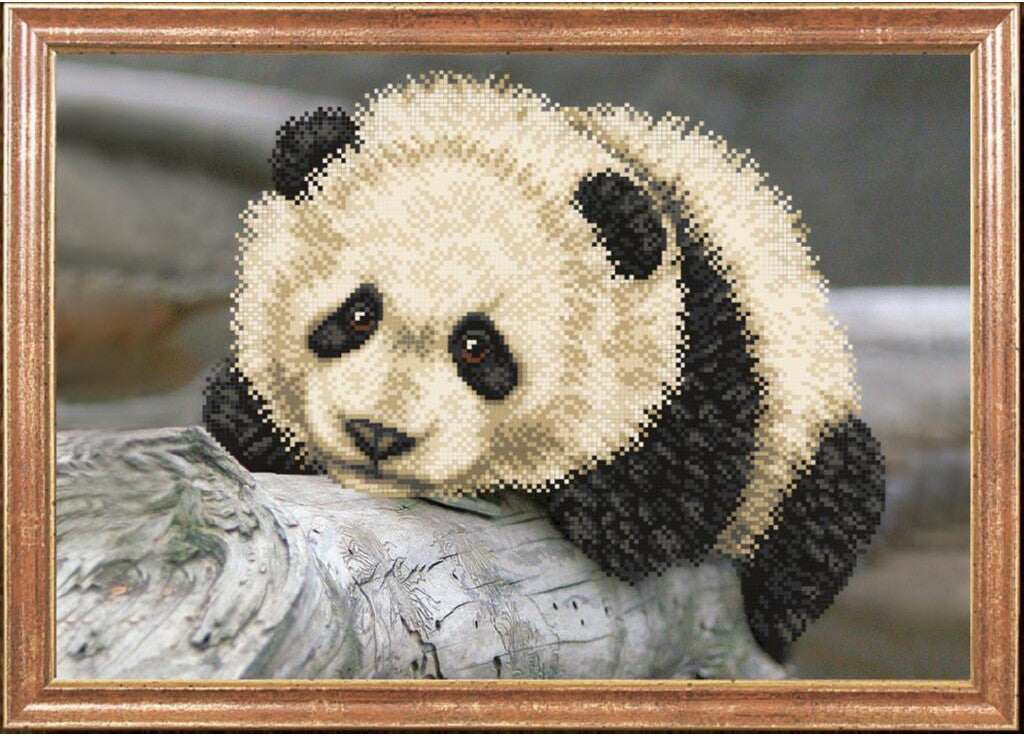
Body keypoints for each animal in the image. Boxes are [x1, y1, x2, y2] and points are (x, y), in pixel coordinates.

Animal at [203, 71, 885, 662]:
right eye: (358, 314)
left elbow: (684, 484)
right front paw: (254, 420)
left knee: (832, 496)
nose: (378, 436)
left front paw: (606, 507)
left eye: (478, 347)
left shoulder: (711, 342)